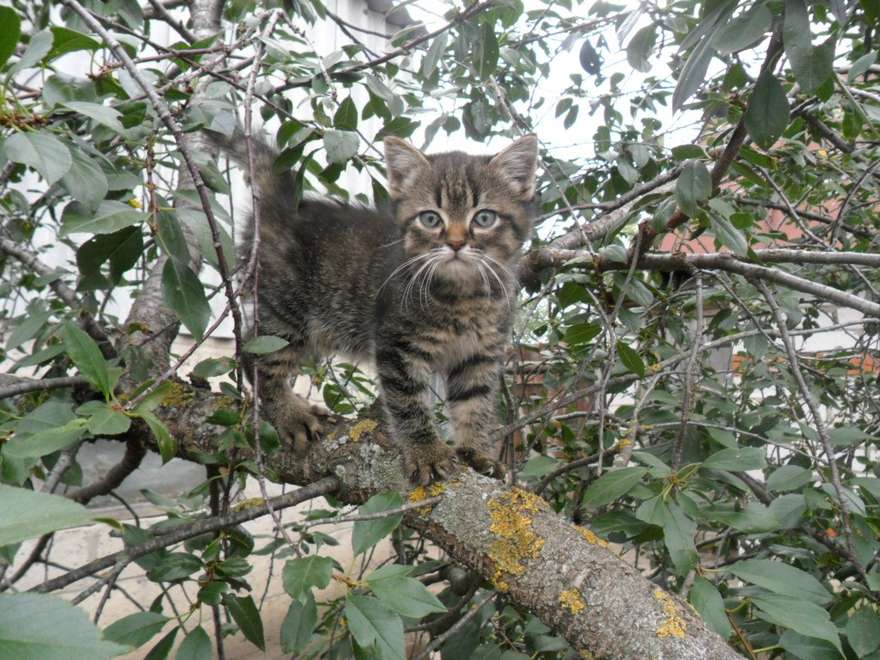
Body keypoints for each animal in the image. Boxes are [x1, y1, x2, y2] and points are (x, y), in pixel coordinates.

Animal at [210, 131, 536, 484]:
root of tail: (284, 204)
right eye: (431, 219)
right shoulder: (398, 347)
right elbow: (409, 405)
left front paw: (476, 452)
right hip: (287, 310)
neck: (466, 296)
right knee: (253, 354)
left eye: (484, 218)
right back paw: (291, 414)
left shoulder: (480, 355)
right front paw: (427, 453)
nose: (456, 243)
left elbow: (474, 405)